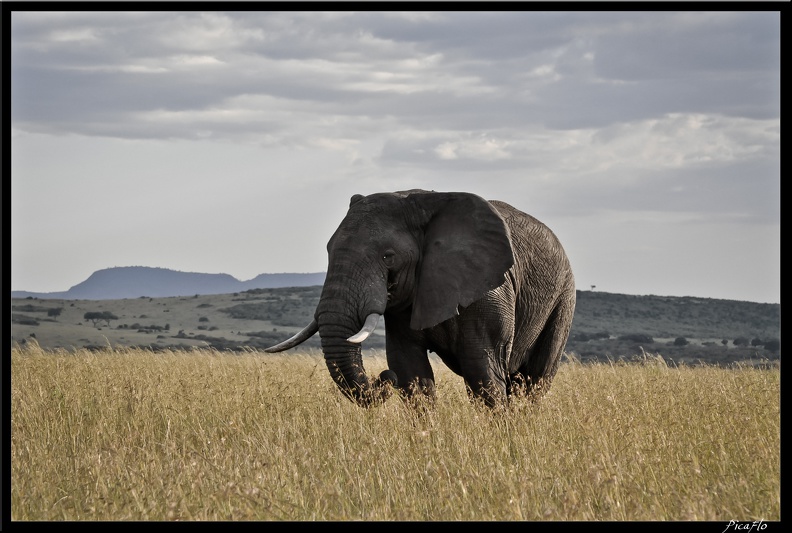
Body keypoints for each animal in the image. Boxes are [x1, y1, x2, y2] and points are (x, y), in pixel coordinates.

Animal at [266, 188, 576, 408]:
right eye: (328, 250)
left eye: (388, 257)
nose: (382, 377)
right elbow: (410, 372)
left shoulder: (489, 292)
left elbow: (482, 370)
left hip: (563, 298)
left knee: (534, 381)